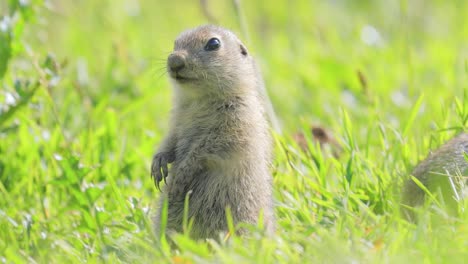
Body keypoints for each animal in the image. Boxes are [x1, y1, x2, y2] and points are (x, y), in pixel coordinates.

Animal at [150, 24, 274, 239]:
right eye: (175, 42)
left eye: (213, 43)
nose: (174, 60)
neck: (199, 100)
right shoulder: (177, 119)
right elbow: (171, 139)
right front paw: (158, 163)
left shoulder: (237, 122)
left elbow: (209, 147)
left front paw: (181, 175)